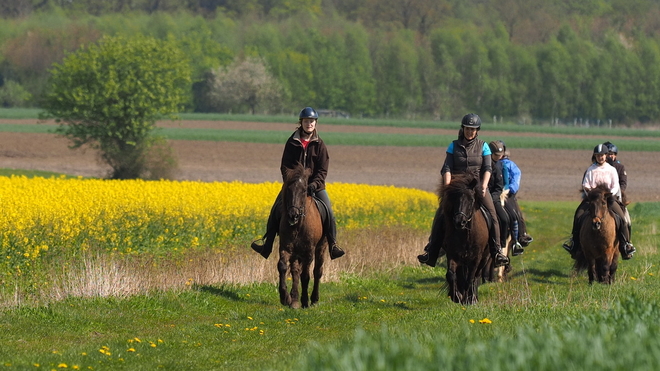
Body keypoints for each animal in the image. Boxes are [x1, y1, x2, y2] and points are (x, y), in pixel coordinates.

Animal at [276, 163, 324, 310]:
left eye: (304, 190)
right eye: (288, 189)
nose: (293, 215)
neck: (298, 226)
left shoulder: (309, 252)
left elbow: (306, 276)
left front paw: (305, 301)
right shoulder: (286, 247)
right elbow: (283, 267)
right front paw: (285, 297)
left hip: (321, 247)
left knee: (317, 271)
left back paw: (313, 299)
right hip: (296, 253)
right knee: (295, 271)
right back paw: (294, 299)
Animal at [440, 174, 492, 306]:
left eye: (471, 200)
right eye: (455, 199)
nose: (460, 221)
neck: (466, 235)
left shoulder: (476, 257)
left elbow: (470, 278)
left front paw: (468, 299)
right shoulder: (452, 254)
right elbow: (451, 275)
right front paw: (456, 297)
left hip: (485, 257)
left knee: (476, 276)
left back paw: (473, 297)